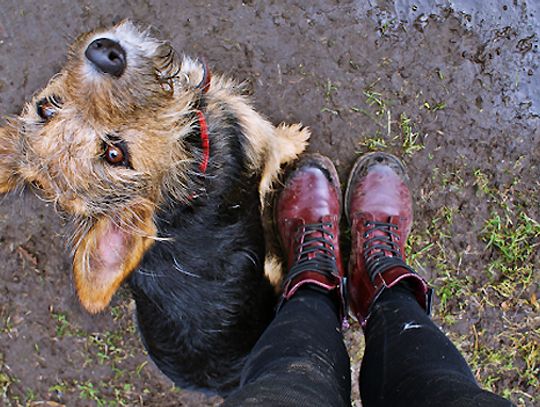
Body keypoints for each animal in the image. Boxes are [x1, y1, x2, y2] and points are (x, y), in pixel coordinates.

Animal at [0, 20, 310, 396]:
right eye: (116, 153)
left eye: (46, 107)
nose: (104, 53)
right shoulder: (261, 141)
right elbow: (279, 148)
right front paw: (297, 137)